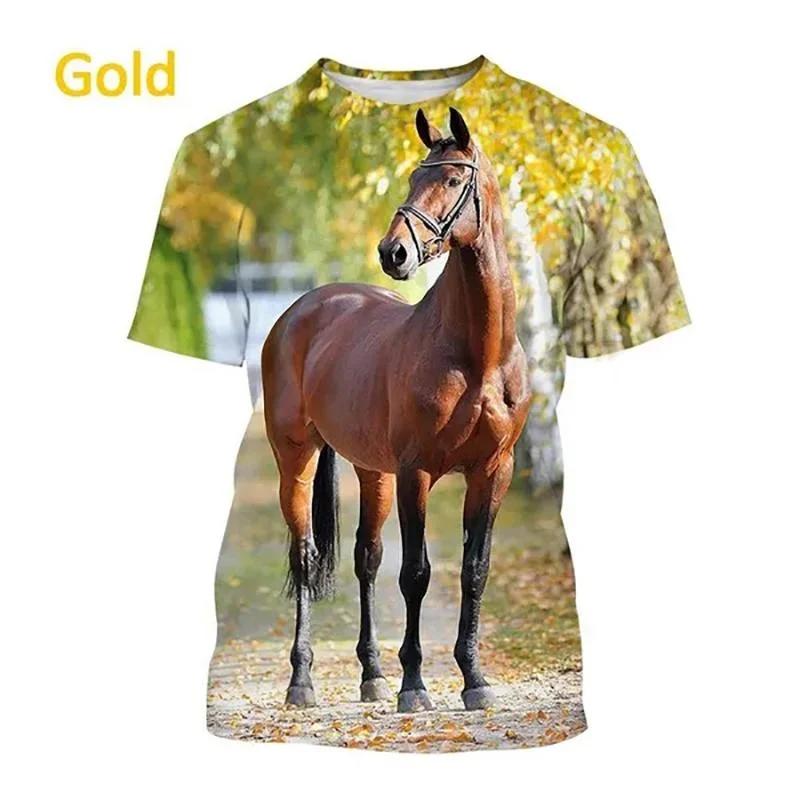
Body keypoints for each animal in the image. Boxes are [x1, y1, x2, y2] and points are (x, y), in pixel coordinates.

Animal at [261, 107, 532, 712]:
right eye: (411, 178)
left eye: (452, 180)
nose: (394, 253)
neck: (477, 353)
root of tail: (302, 311)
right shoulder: (417, 471)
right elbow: (417, 574)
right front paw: (415, 686)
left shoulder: (492, 471)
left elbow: (474, 570)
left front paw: (474, 680)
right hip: (297, 458)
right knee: (305, 556)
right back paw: (302, 681)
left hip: (372, 471)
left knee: (366, 558)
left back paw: (371, 675)